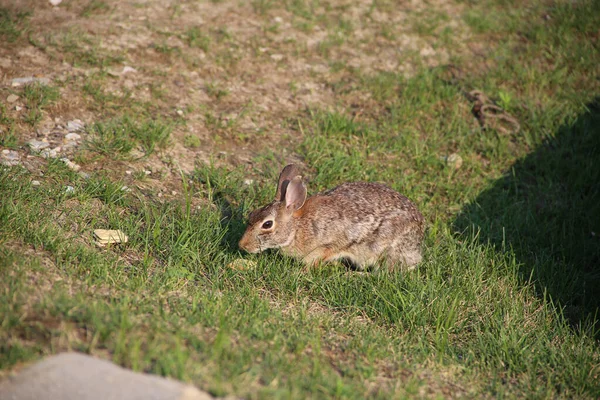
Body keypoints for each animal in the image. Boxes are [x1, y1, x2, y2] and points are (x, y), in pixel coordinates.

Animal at [237, 163, 424, 272]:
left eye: (267, 224)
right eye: (252, 214)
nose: (242, 245)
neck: (297, 228)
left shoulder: (333, 242)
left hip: (386, 250)